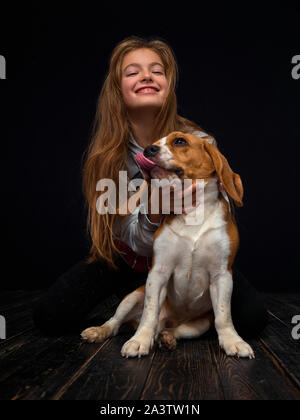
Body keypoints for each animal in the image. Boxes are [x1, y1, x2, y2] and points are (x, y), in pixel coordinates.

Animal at [81, 132, 255, 360]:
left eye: (180, 141)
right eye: (156, 142)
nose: (148, 149)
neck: (193, 213)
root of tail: (169, 319)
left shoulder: (222, 275)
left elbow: (224, 317)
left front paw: (233, 341)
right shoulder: (159, 272)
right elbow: (149, 312)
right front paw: (140, 340)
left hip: (199, 324)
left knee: (176, 329)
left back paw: (167, 337)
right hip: (132, 297)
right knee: (116, 322)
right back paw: (100, 331)